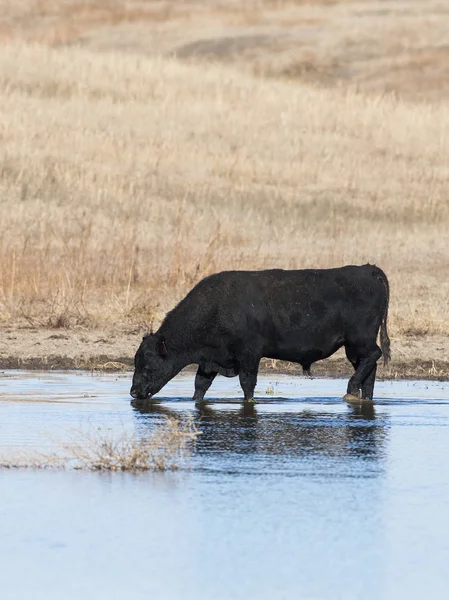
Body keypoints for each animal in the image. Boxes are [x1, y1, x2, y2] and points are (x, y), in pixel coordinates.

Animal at [130, 266, 388, 404]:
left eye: (148, 365)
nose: (133, 392)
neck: (216, 308)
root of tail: (368, 269)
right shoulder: (210, 359)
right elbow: (200, 385)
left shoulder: (249, 354)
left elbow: (247, 384)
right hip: (354, 347)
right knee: (369, 369)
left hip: (358, 340)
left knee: (373, 356)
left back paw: (351, 390)